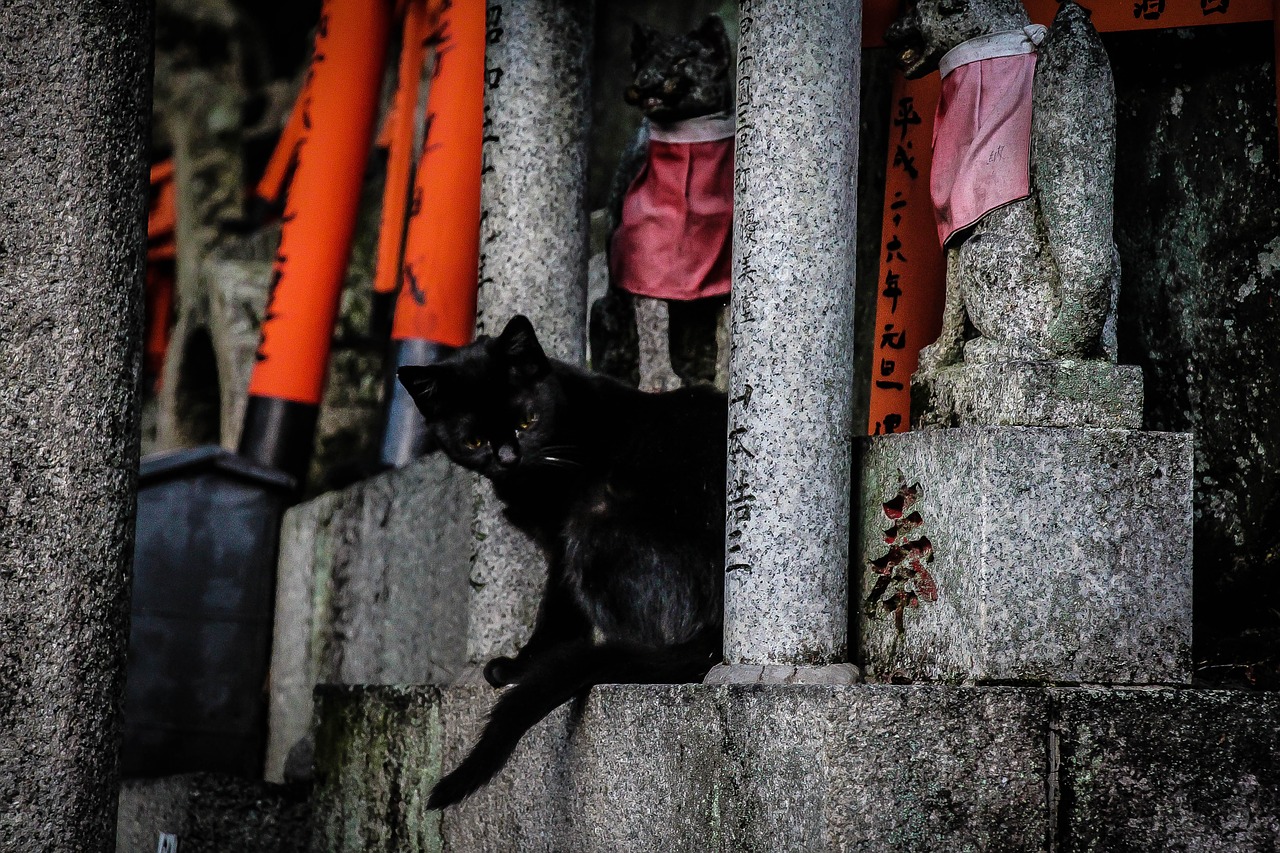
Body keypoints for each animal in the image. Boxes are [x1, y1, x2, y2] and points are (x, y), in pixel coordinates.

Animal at [394, 312, 727, 804]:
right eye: (474, 440)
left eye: (527, 420)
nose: (508, 457)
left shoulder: (562, 544)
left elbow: (556, 612)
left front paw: (520, 665)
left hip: (594, 520)